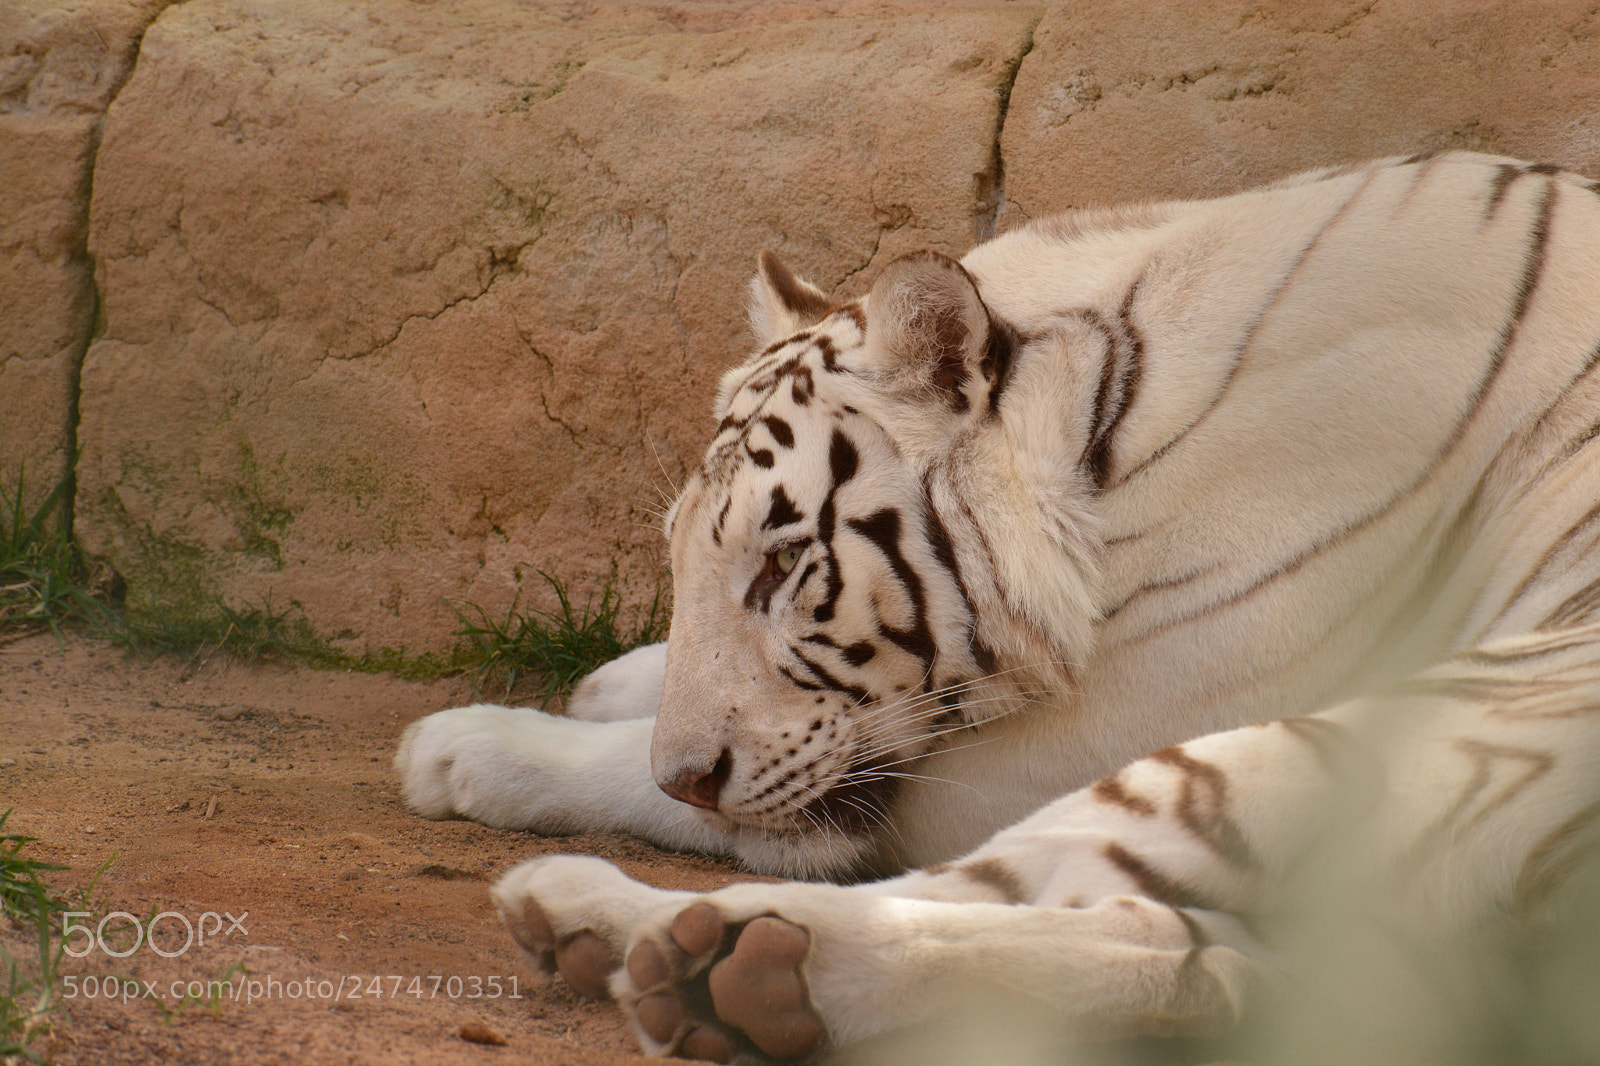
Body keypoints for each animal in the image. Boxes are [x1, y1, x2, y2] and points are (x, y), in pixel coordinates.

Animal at [395, 151, 1600, 1062]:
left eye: (782, 567)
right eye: (687, 563)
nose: (686, 769)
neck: (1112, 416)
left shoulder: (1080, 734)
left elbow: (736, 801)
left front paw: (468, 747)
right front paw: (613, 681)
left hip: (1417, 737)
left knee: (1016, 888)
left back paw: (637, 927)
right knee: (1181, 955)